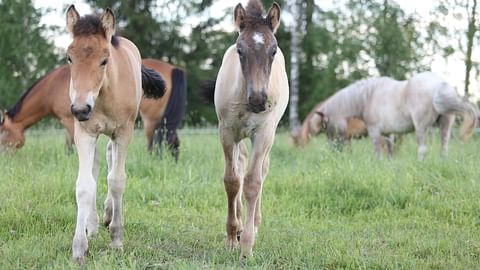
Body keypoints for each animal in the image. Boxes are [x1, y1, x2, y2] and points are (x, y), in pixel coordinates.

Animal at [0, 58, 186, 157]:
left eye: (3, 132)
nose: (4, 156)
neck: (53, 86)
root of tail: (174, 69)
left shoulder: (70, 120)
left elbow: (70, 147)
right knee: (174, 142)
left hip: (151, 120)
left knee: (155, 144)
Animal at [64, 6, 165, 262]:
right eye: (69, 57)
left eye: (104, 60)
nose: (81, 109)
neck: (104, 94)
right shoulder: (84, 132)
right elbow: (84, 185)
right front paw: (79, 247)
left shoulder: (124, 132)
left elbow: (117, 181)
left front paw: (117, 239)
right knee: (98, 165)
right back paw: (93, 224)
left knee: (111, 160)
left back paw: (109, 216)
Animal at [214, 0, 288, 262]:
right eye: (240, 49)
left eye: (273, 50)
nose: (258, 100)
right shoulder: (227, 132)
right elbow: (232, 181)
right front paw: (231, 235)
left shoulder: (263, 133)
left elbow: (253, 182)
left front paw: (247, 246)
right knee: (240, 165)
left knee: (262, 170)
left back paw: (253, 224)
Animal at [314, 73, 474, 159]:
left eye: (326, 127)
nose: (334, 150)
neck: (368, 97)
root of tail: (439, 83)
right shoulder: (388, 134)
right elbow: (390, 151)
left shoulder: (374, 131)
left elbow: (378, 152)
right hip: (445, 125)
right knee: (444, 148)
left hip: (421, 127)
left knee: (423, 149)